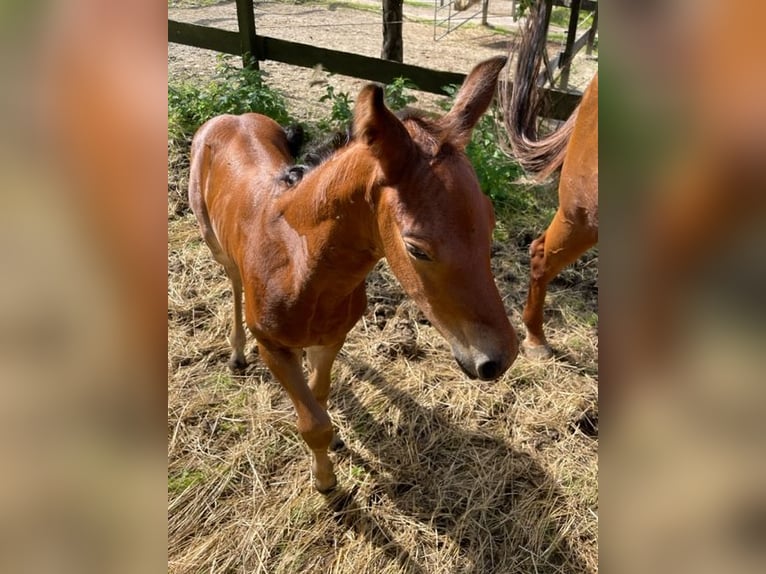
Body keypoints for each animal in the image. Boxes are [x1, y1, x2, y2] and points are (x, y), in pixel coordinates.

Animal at [188, 56, 520, 492]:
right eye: (417, 249)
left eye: (491, 219)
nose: (500, 358)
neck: (300, 267)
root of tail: (231, 116)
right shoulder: (273, 348)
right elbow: (311, 422)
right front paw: (325, 481)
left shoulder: (332, 338)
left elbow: (319, 395)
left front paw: (334, 442)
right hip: (214, 242)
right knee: (234, 283)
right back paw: (237, 353)